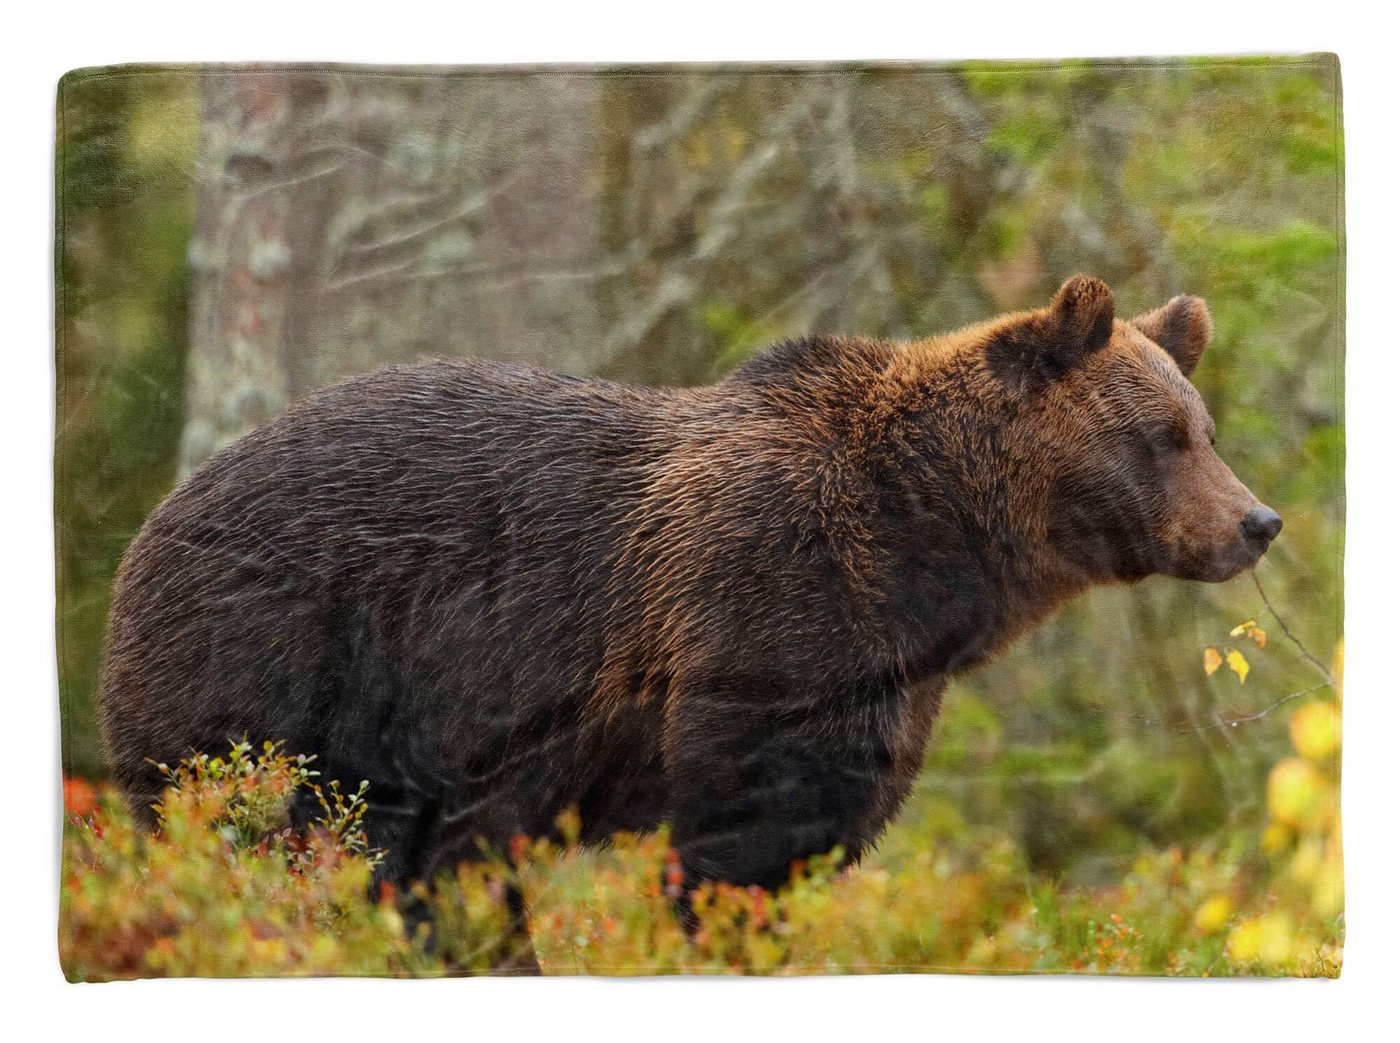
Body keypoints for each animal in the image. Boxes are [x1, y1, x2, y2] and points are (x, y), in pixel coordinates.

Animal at [98, 273, 1282, 912]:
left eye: (1205, 427)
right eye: (1162, 435)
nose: (1255, 520)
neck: (926, 551)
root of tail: (156, 509)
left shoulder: (886, 687)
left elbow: (826, 825)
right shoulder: (764, 604)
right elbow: (743, 826)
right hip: (274, 650)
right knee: (242, 816)